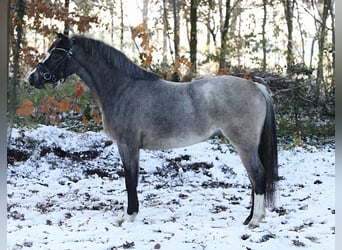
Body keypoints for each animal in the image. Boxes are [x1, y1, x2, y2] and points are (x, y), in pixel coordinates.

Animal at [28, 32, 278, 228]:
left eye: (57, 55)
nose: (32, 77)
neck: (123, 89)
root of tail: (257, 87)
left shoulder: (127, 145)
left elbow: (130, 180)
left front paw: (128, 217)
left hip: (244, 145)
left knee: (257, 175)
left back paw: (255, 220)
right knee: (254, 179)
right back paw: (250, 218)